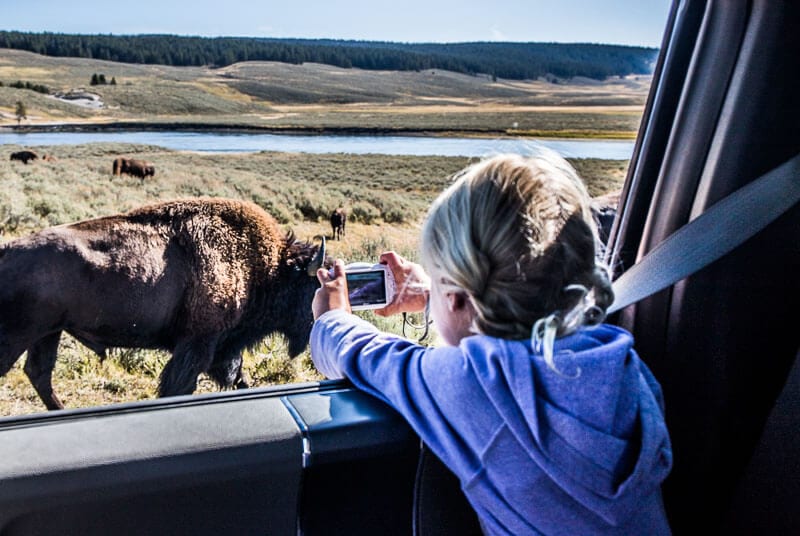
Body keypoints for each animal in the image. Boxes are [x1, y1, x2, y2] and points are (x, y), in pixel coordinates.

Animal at [0, 197, 328, 410]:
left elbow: (235, 375)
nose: (318, 323)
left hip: (48, 333)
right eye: (312, 286)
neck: (266, 267)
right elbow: (180, 385)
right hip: (21, 335)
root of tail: (7, 249)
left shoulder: (220, 347)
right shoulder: (199, 342)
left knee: (40, 373)